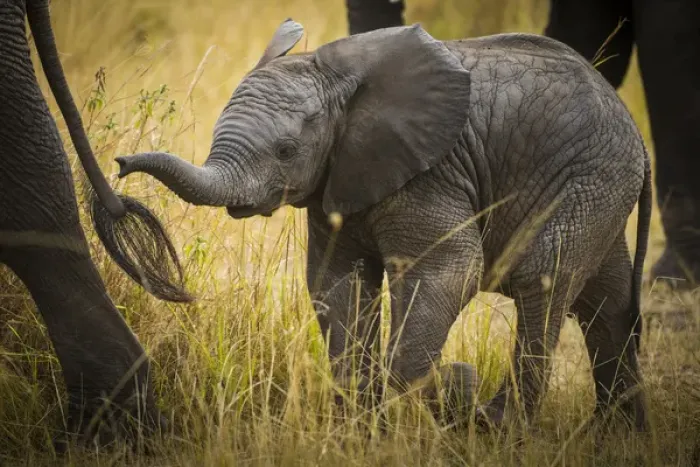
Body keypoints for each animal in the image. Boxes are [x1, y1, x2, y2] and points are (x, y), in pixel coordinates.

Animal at [116, 20, 652, 430]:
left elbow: (449, 271)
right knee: (605, 299)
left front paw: (407, 410)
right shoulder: (340, 179)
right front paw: (358, 424)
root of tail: (635, 133)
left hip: (590, 176)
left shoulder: (431, 173)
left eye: (286, 151)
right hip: (601, 187)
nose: (119, 167)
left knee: (543, 280)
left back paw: (500, 427)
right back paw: (618, 436)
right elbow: (338, 285)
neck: (336, 78)